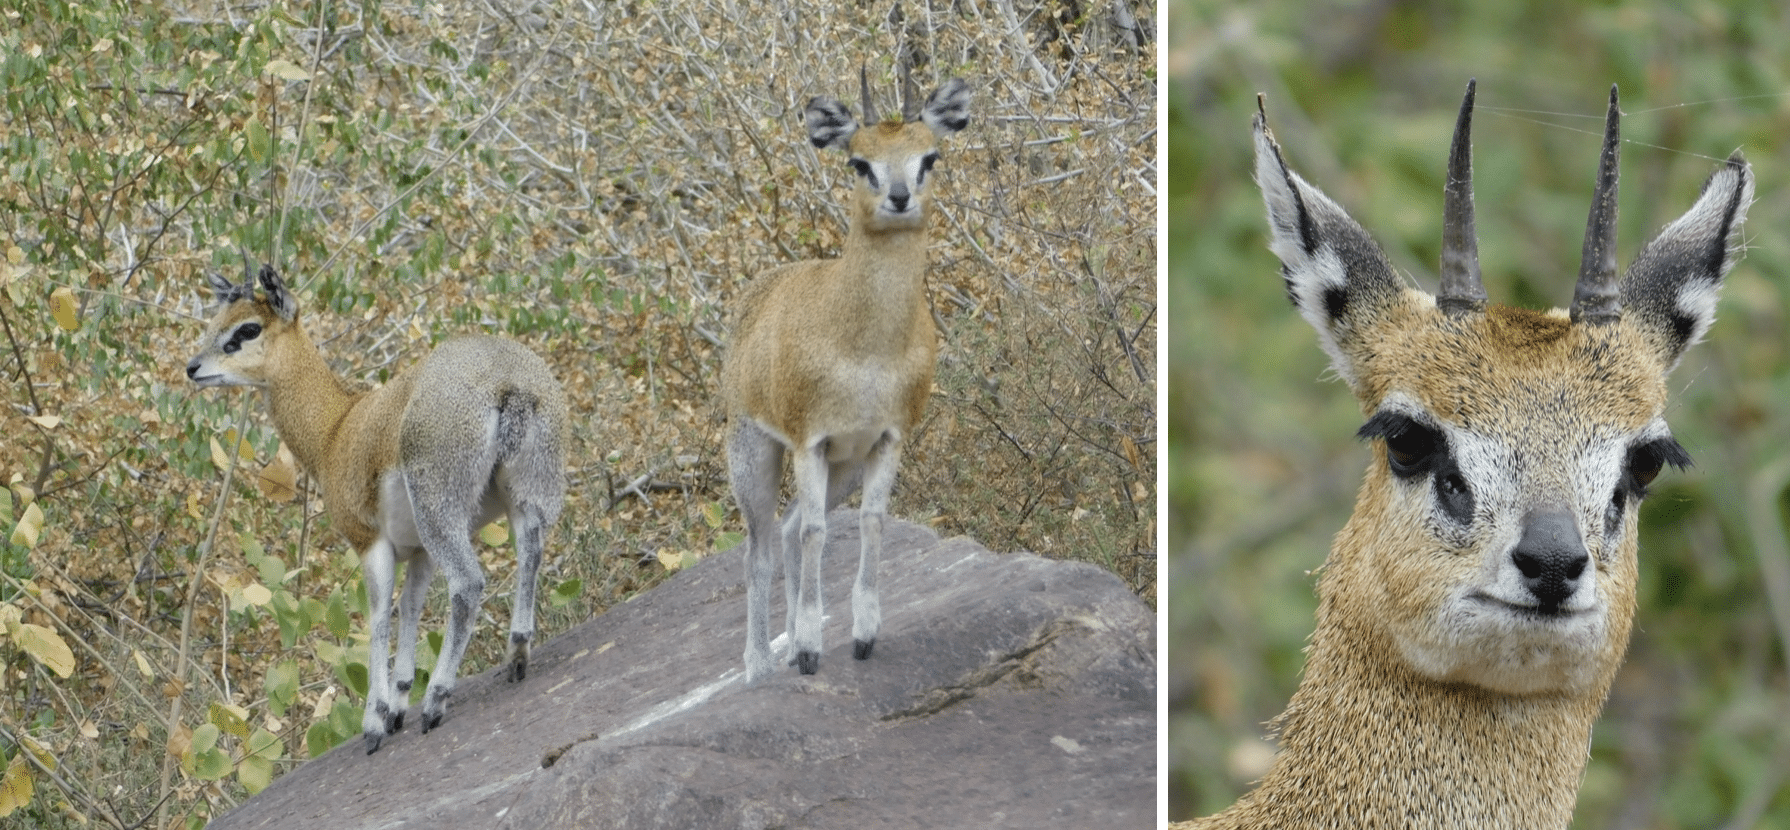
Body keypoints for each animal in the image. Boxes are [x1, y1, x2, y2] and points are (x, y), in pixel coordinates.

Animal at [184, 264, 562, 751]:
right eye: (217, 320)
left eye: (247, 328)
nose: (193, 368)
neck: (337, 430)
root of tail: (505, 382)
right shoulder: (418, 553)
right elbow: (409, 607)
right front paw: (398, 702)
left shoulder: (370, 543)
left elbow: (378, 616)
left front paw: (375, 722)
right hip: (526, 495)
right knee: (531, 551)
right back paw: (516, 655)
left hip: (440, 512)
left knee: (468, 584)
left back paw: (437, 701)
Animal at [719, 69, 973, 679]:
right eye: (860, 161)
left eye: (929, 156)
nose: (899, 197)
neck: (867, 350)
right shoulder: (811, 440)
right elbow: (816, 533)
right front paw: (812, 647)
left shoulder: (884, 440)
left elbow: (871, 523)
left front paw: (862, 635)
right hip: (754, 453)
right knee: (759, 548)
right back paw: (761, 663)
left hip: (845, 468)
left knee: (787, 529)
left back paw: (787, 646)